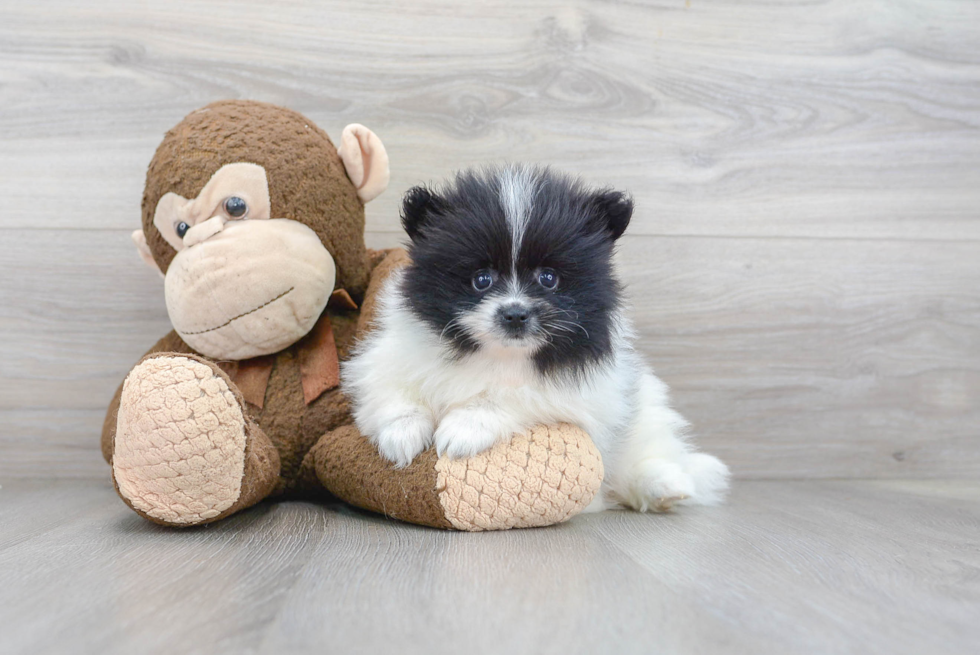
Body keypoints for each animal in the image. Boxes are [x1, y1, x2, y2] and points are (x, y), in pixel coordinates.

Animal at [344, 165, 728, 512]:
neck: (500, 355)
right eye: (481, 279)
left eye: (548, 278)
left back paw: (668, 485)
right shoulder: (389, 357)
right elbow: (393, 394)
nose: (515, 314)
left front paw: (464, 428)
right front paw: (402, 436)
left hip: (644, 418)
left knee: (645, 457)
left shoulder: (580, 395)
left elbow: (511, 396)